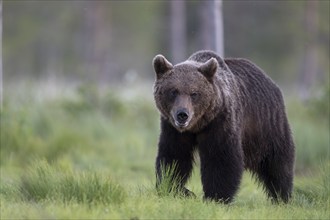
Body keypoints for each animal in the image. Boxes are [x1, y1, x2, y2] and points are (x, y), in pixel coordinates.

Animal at [153, 49, 296, 203]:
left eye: (194, 93)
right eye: (173, 91)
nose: (182, 114)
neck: (198, 125)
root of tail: (271, 82)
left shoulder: (220, 122)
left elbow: (221, 158)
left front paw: (216, 196)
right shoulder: (172, 129)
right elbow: (174, 157)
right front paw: (177, 189)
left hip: (267, 126)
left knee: (278, 164)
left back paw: (282, 196)